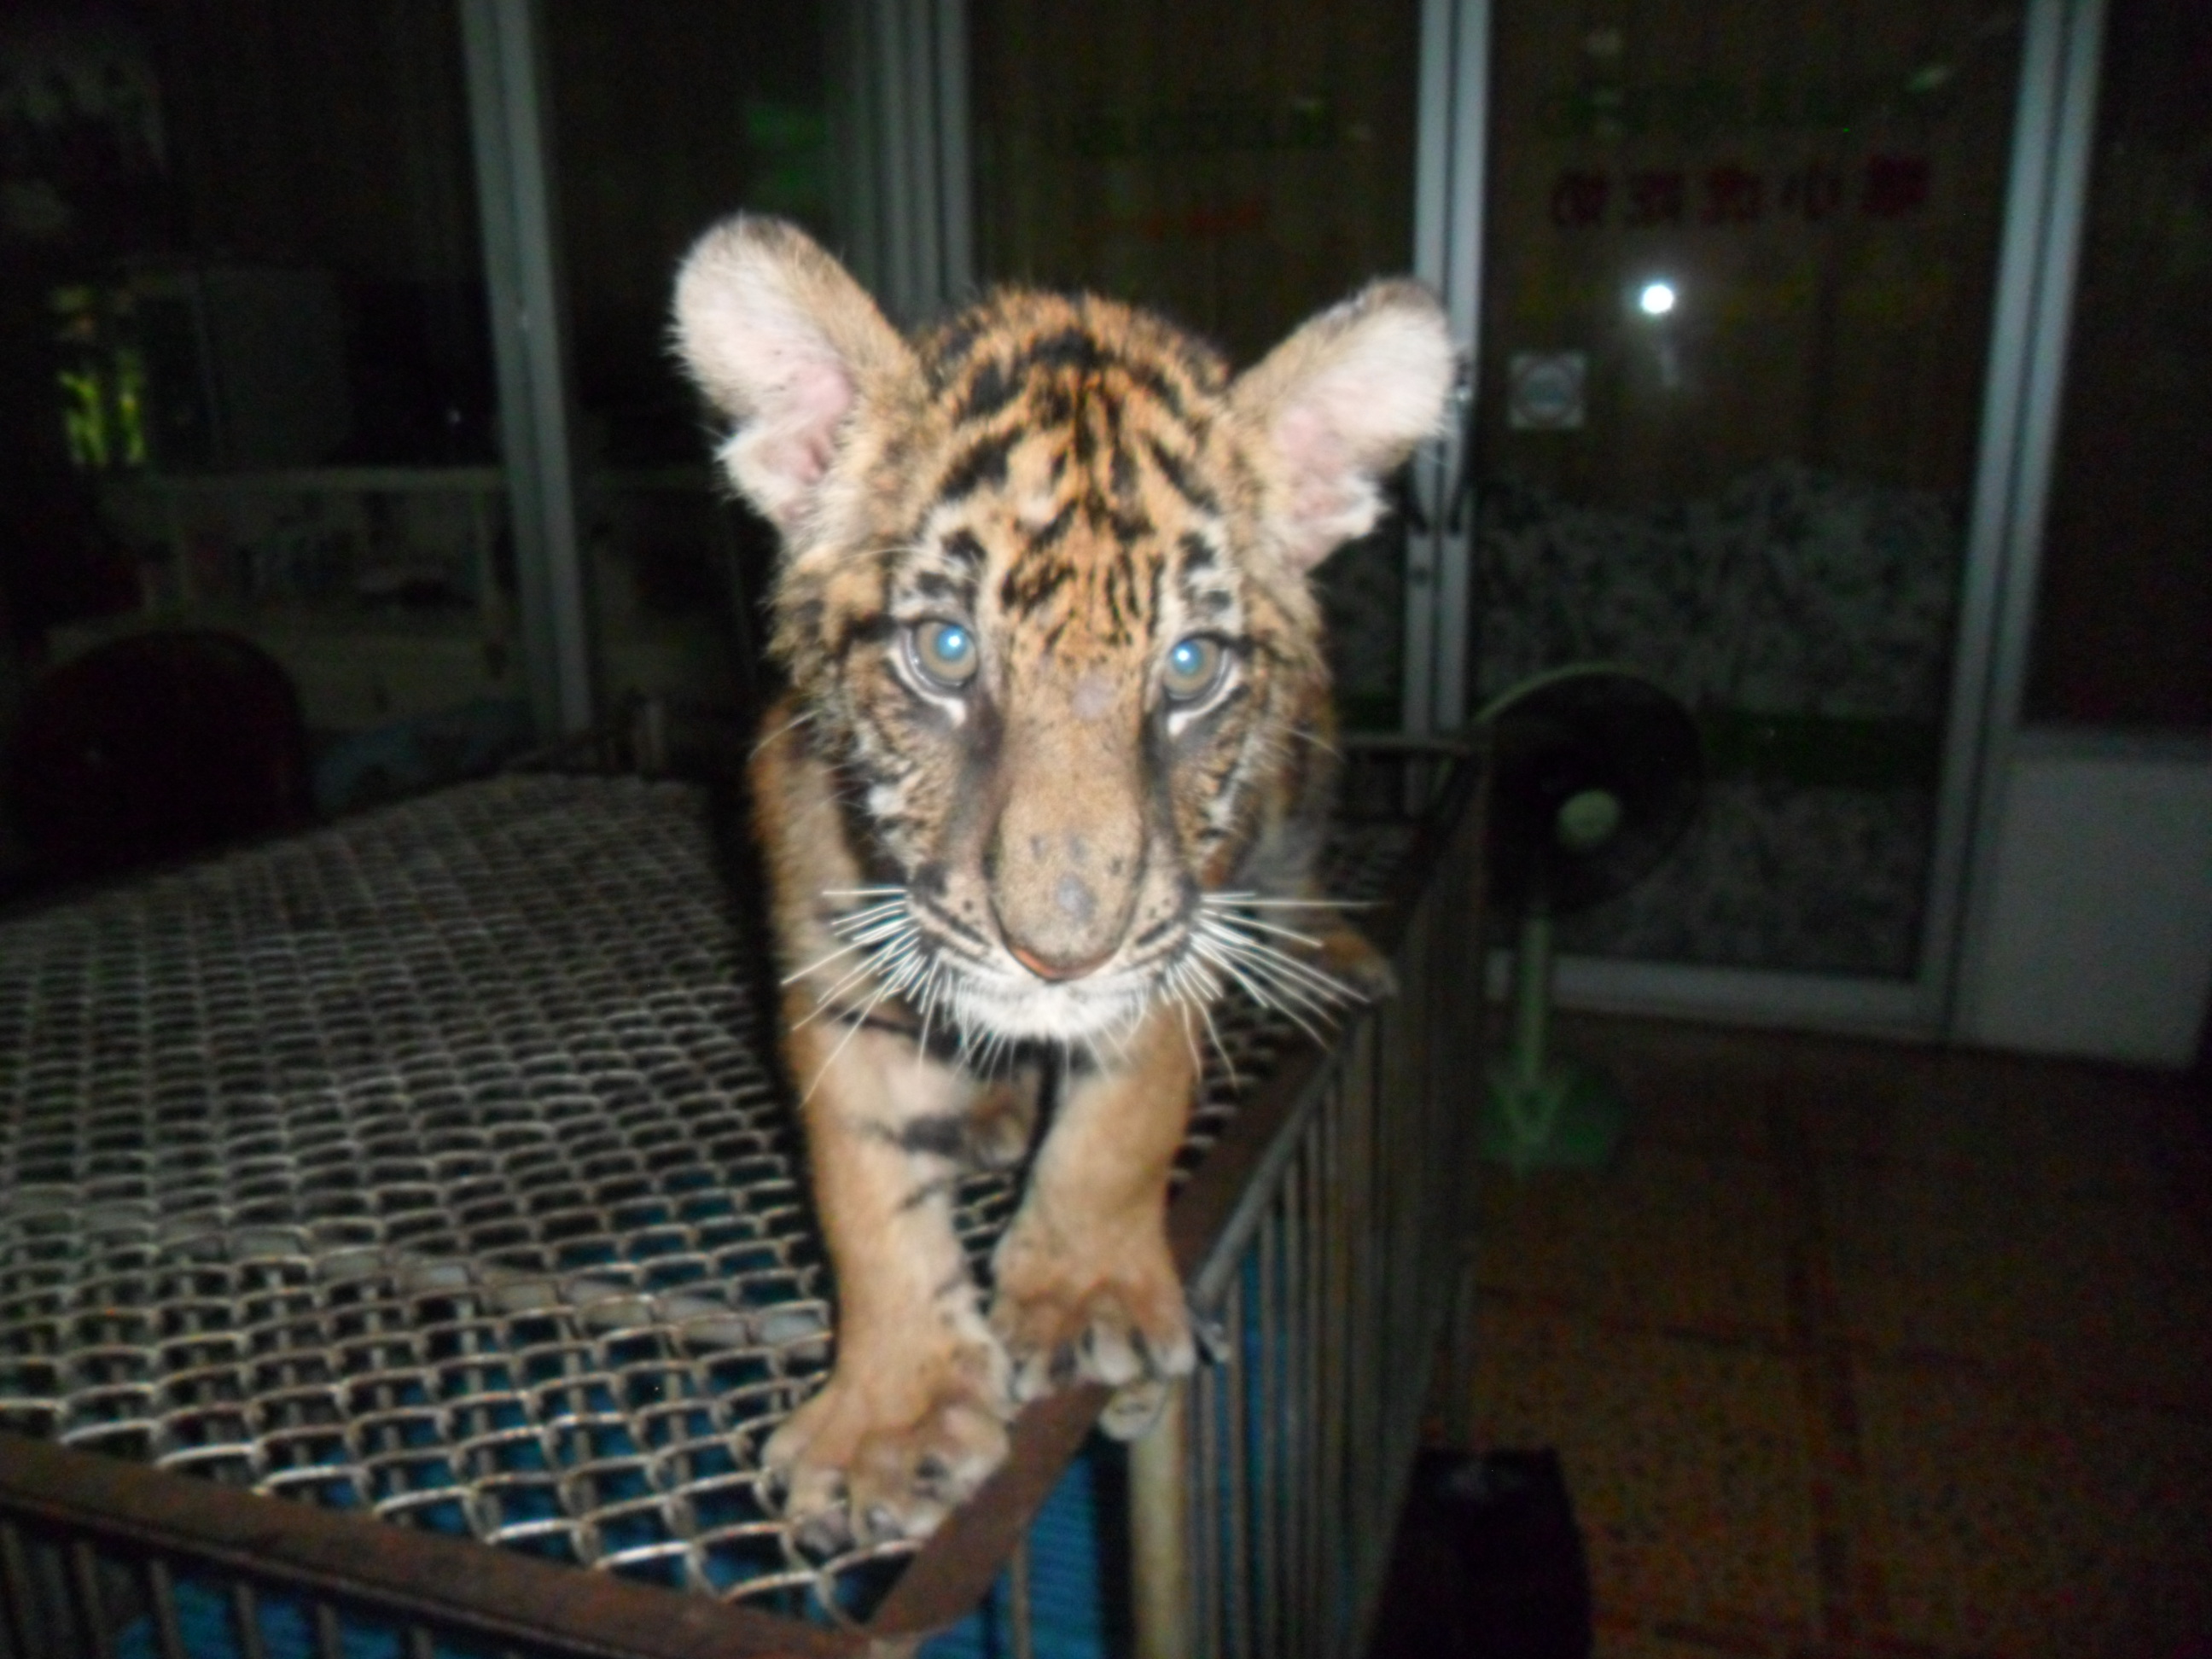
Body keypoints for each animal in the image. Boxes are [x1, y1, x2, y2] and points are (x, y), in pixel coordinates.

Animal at [672, 216, 1454, 1551]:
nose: (1061, 955)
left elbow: (1123, 1126)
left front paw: (1087, 1302)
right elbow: (866, 1197)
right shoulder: (834, 973)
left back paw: (1332, 958)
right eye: (946, 653)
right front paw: (891, 1422)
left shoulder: (1174, 932)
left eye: (1189, 668)